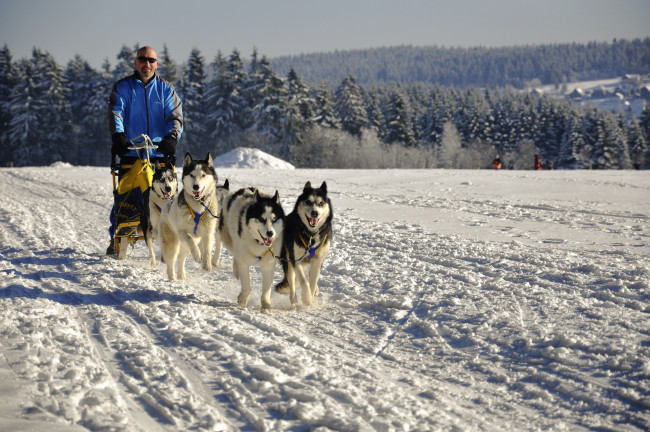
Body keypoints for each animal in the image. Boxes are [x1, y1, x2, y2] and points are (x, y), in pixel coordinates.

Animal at [159, 152, 218, 280]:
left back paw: (181, 275)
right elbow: (189, 238)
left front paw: (207, 265)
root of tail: (167, 204)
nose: (196, 186)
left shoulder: (208, 233)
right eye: (191, 175)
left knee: (181, 258)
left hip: (186, 245)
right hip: (172, 243)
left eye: (203, 175)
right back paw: (172, 278)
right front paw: (197, 255)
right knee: (171, 261)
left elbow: (207, 250)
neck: (198, 205)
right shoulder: (182, 232)